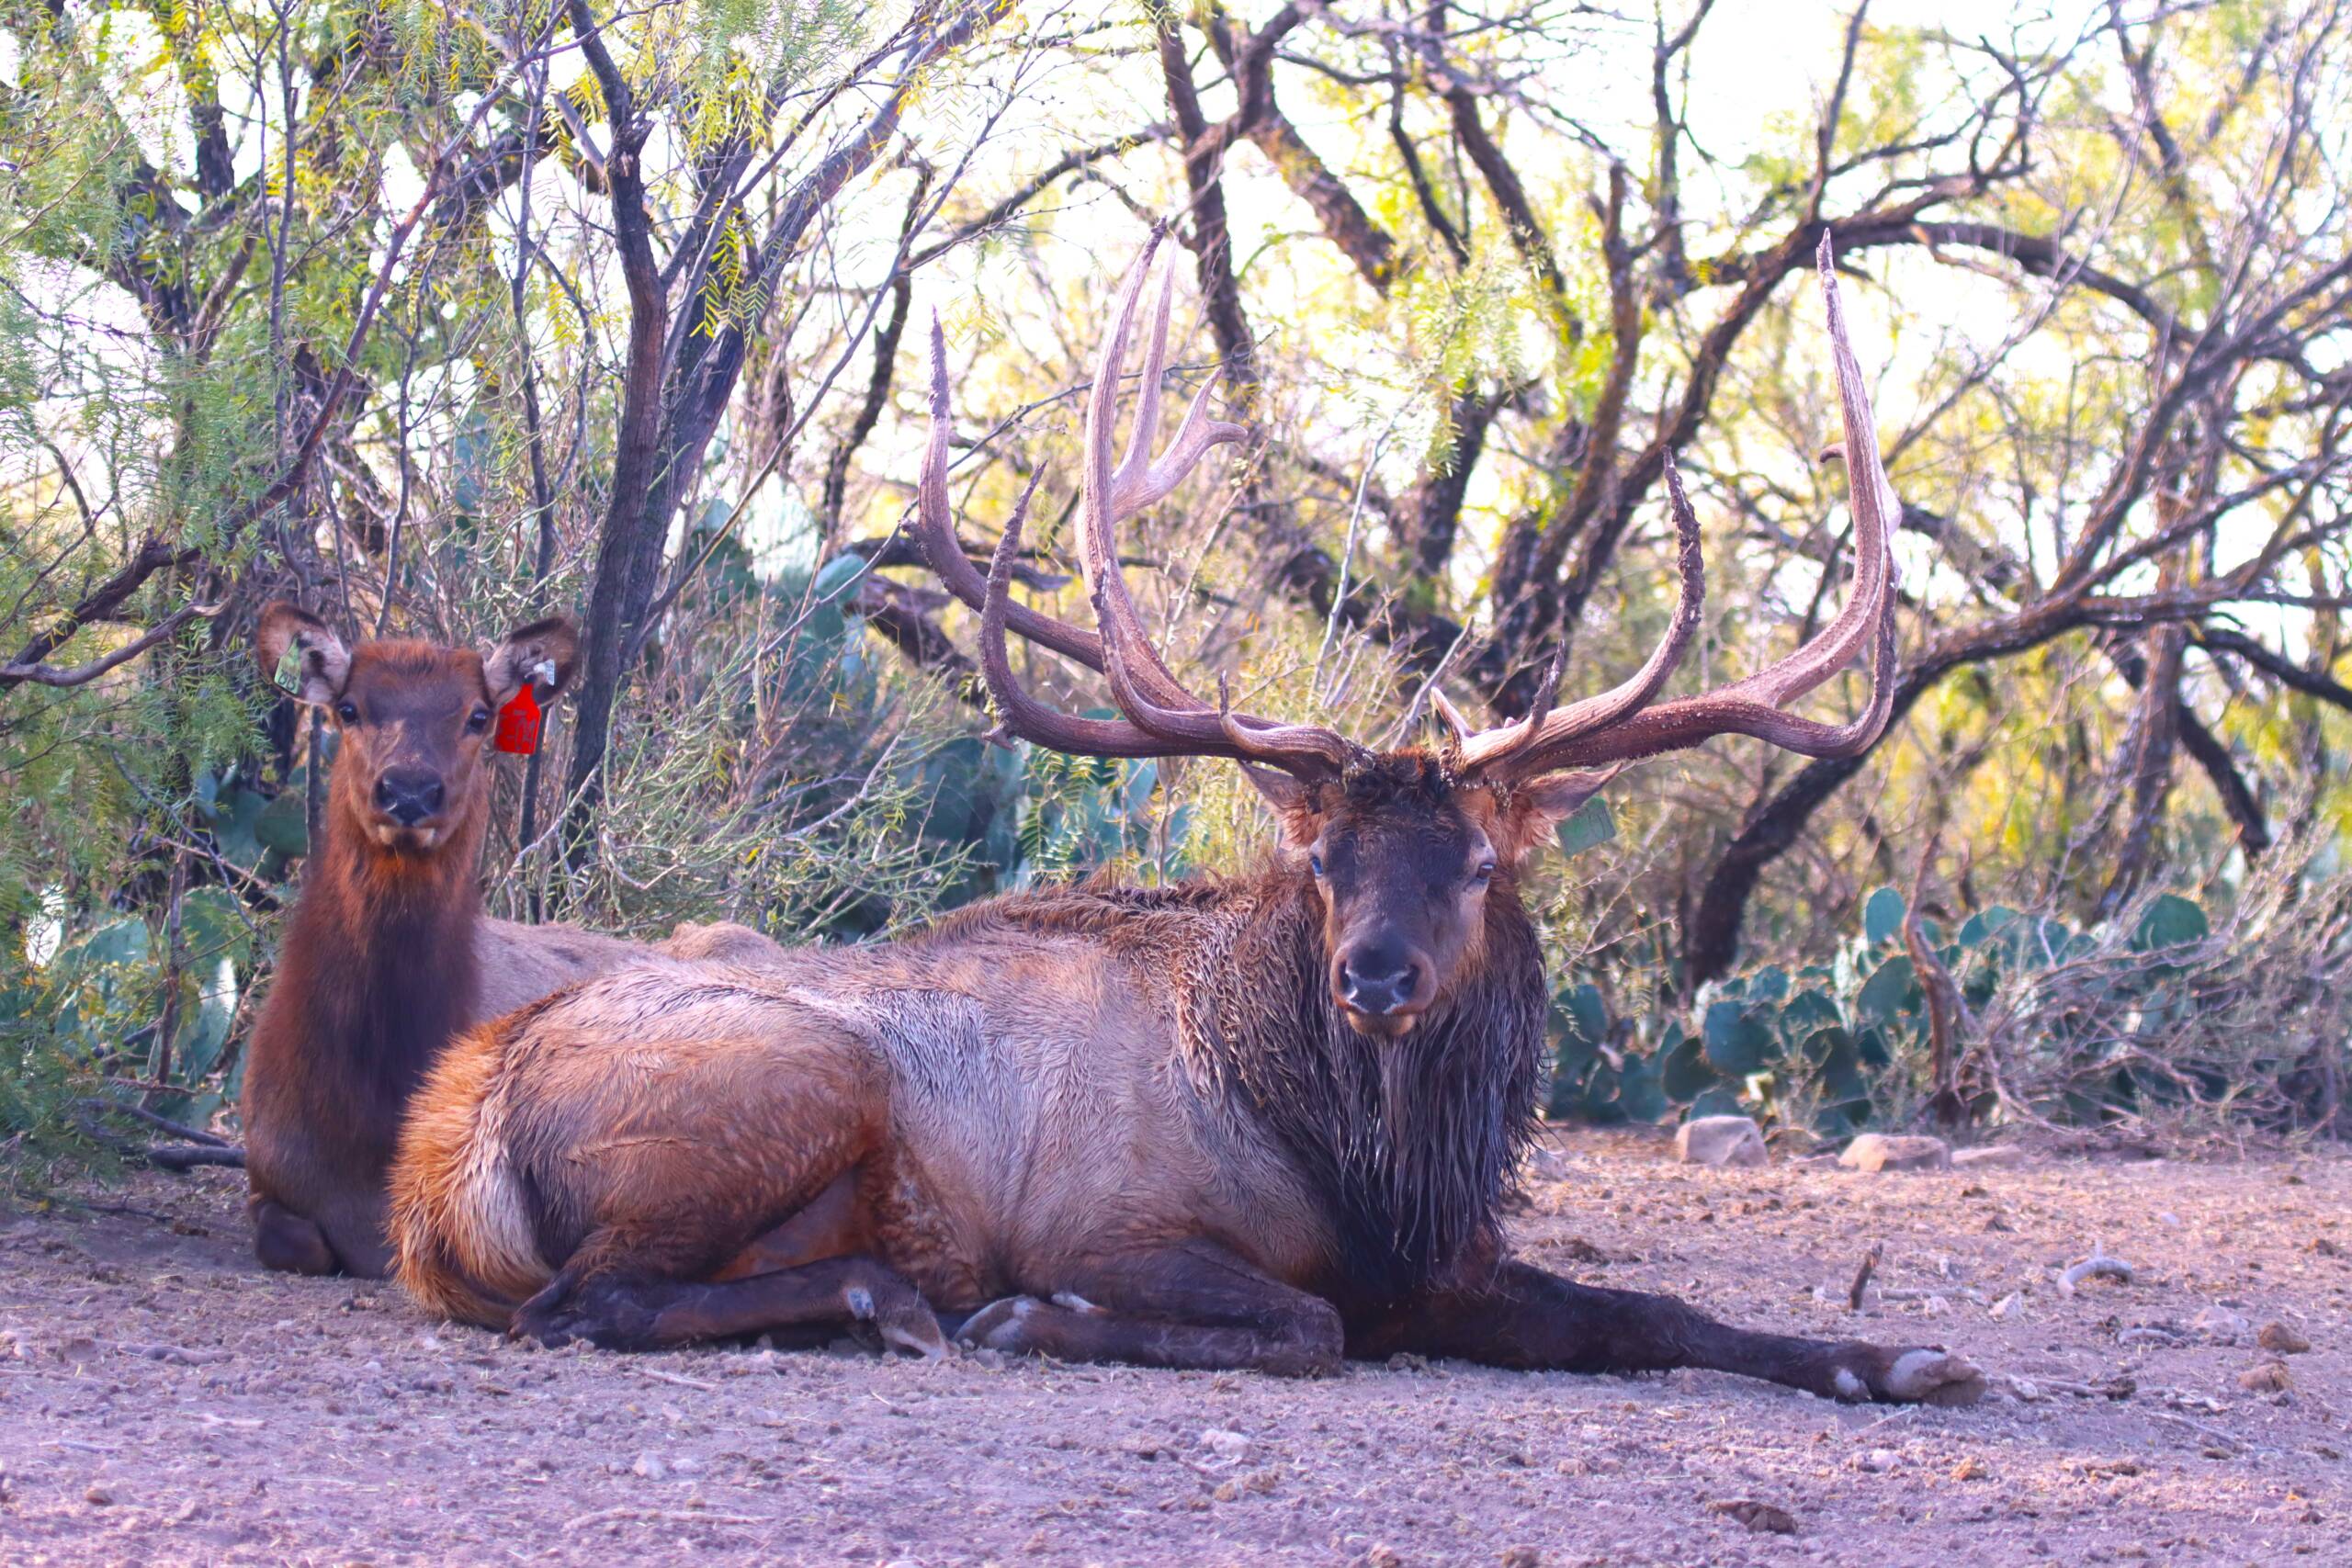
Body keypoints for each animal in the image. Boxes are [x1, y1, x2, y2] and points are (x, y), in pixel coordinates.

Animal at [387, 232, 1982, 1406]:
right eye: (1323, 860)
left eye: (1476, 860)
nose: (1376, 975)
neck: (1358, 1169)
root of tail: (442, 1159)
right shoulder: (1114, 1221)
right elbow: (1302, 1325)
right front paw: (1030, 1316)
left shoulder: (1453, 1264)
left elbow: (1655, 1309)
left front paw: (1908, 1353)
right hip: (802, 1076)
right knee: (584, 1299)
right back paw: (892, 1299)